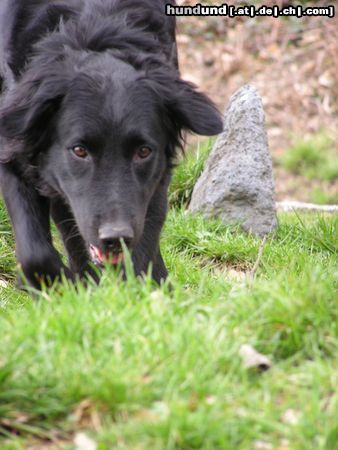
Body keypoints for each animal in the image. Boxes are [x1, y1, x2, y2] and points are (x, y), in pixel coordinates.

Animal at [0, 0, 223, 288]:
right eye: (79, 150)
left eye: (143, 151)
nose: (116, 237)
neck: (95, 26)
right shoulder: (13, 145)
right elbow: (34, 253)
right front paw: (62, 286)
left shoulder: (154, 178)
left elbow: (143, 242)